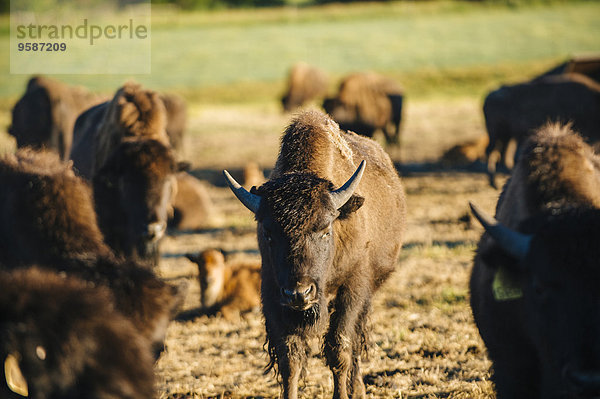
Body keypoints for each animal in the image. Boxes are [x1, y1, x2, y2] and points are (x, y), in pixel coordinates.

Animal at [225, 110, 408, 399]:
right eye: (268, 233)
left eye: (325, 229)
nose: (299, 293)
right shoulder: (273, 294)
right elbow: (290, 359)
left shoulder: (353, 289)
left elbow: (340, 348)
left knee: (355, 342)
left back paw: (358, 389)